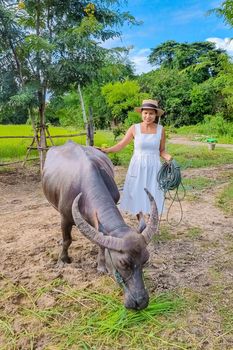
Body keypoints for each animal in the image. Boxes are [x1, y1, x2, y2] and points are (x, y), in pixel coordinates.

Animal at [41, 139, 158, 308]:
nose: (141, 302)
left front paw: (101, 266)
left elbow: (101, 243)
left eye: (145, 259)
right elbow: (67, 240)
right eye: (123, 263)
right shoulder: (65, 217)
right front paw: (62, 260)